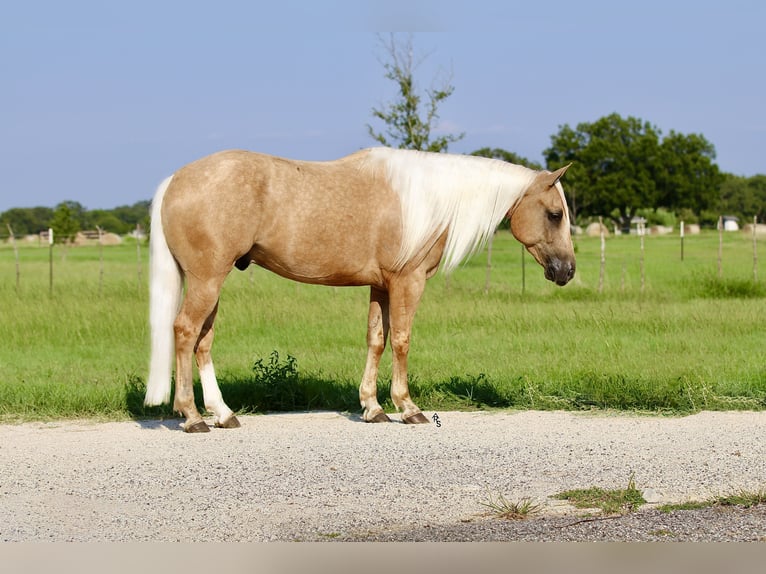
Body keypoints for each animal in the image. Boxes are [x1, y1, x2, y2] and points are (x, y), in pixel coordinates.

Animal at [144, 147, 575, 432]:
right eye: (555, 215)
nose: (568, 270)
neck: (427, 200)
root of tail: (175, 180)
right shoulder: (407, 282)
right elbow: (401, 339)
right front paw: (407, 407)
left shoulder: (380, 286)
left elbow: (376, 340)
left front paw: (372, 408)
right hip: (207, 280)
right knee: (185, 331)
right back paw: (192, 417)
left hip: (212, 283)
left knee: (203, 341)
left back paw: (223, 414)